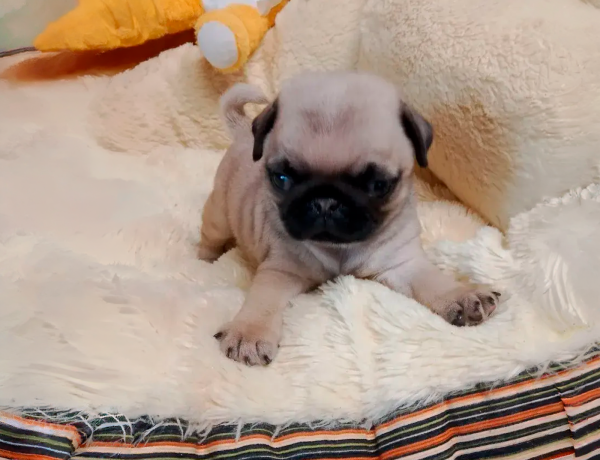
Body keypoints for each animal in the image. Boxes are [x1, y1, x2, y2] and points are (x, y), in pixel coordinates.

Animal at [199, 71, 500, 366]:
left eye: (379, 185)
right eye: (281, 179)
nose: (325, 202)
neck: (340, 249)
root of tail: (243, 135)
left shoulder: (402, 264)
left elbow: (433, 281)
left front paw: (462, 295)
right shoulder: (280, 271)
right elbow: (264, 301)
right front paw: (249, 333)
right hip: (218, 217)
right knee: (209, 238)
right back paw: (205, 260)